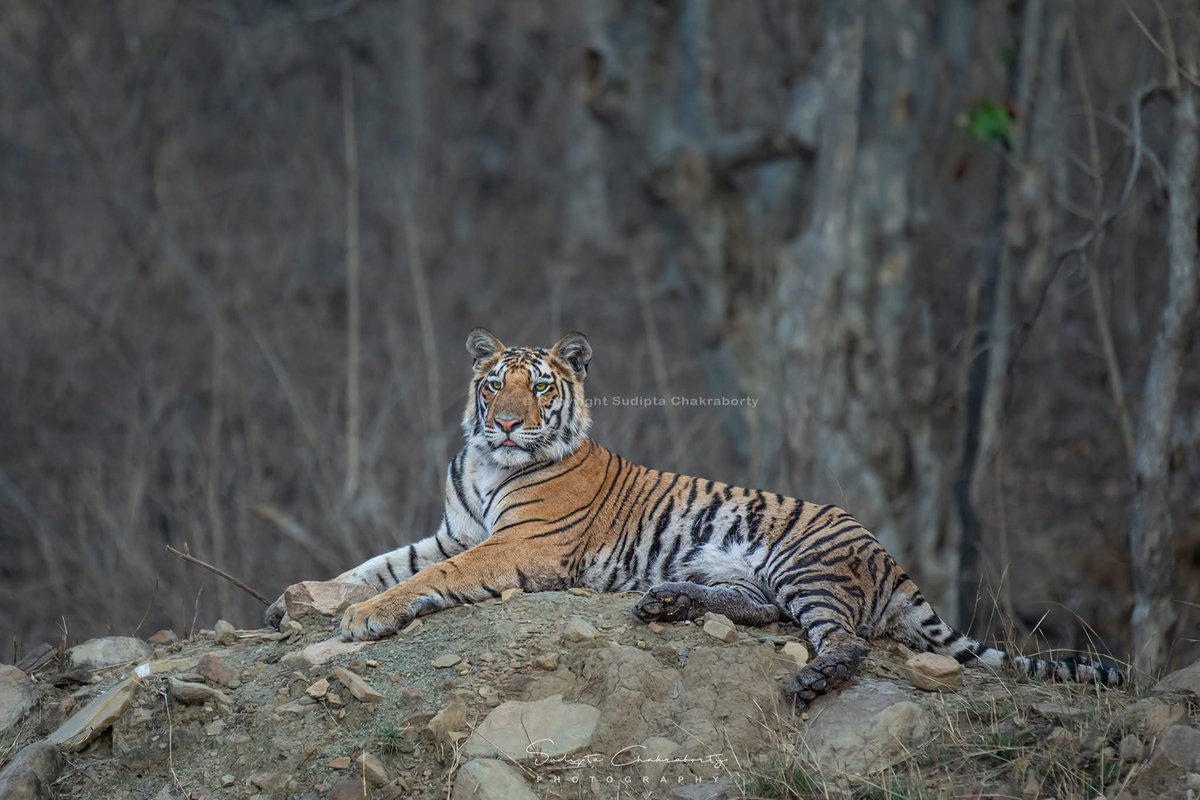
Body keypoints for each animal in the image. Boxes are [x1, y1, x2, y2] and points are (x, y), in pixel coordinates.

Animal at [265, 328, 1124, 704]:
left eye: (539, 387)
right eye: (493, 383)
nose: (507, 424)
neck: (485, 464)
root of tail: (886, 553)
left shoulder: (513, 546)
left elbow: (426, 577)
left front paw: (364, 618)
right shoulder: (456, 529)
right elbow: (378, 563)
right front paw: (292, 602)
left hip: (805, 563)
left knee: (842, 640)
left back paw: (809, 680)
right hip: (757, 573)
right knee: (759, 610)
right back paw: (667, 600)